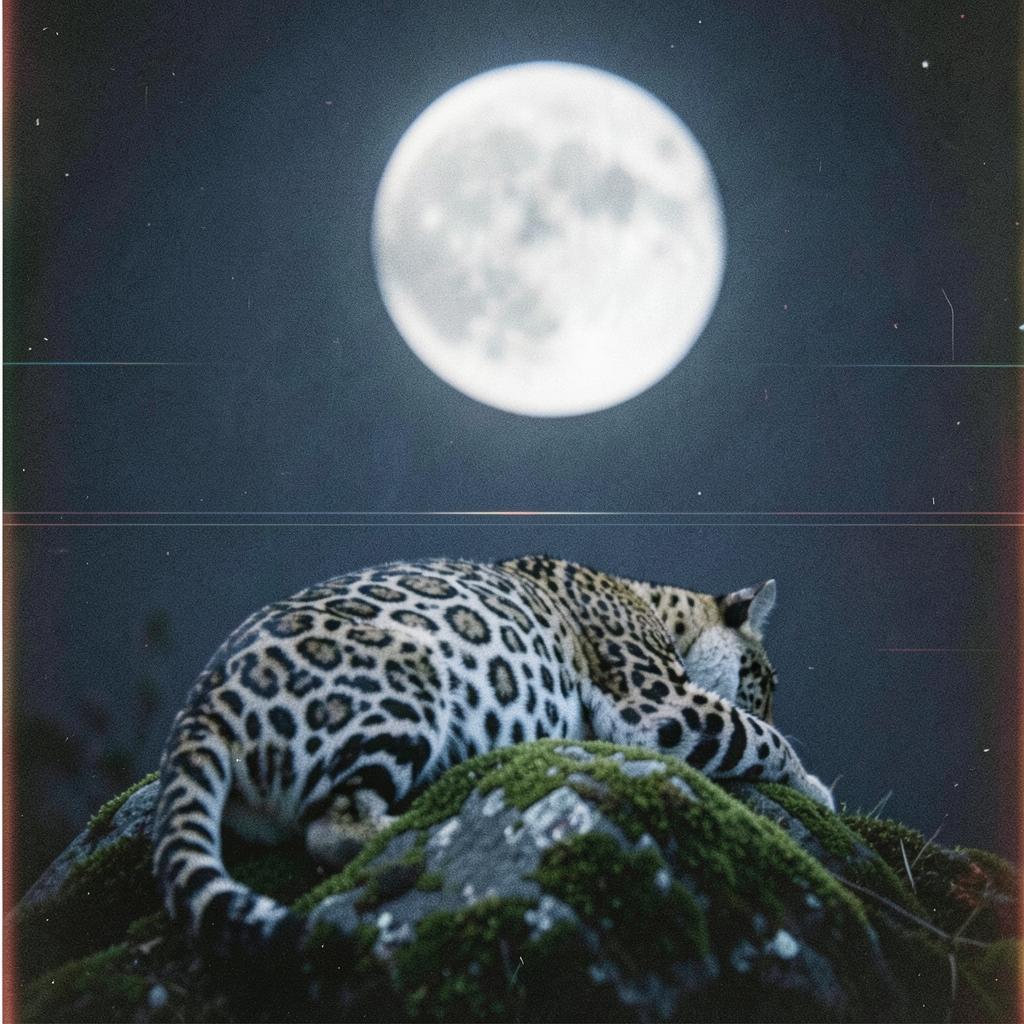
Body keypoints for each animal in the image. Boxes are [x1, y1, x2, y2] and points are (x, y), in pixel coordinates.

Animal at [153, 555, 834, 956]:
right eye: (766, 684)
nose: (773, 700)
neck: (658, 604)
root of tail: (199, 704)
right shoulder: (658, 704)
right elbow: (756, 736)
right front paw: (815, 787)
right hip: (412, 678)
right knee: (332, 830)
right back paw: (431, 821)